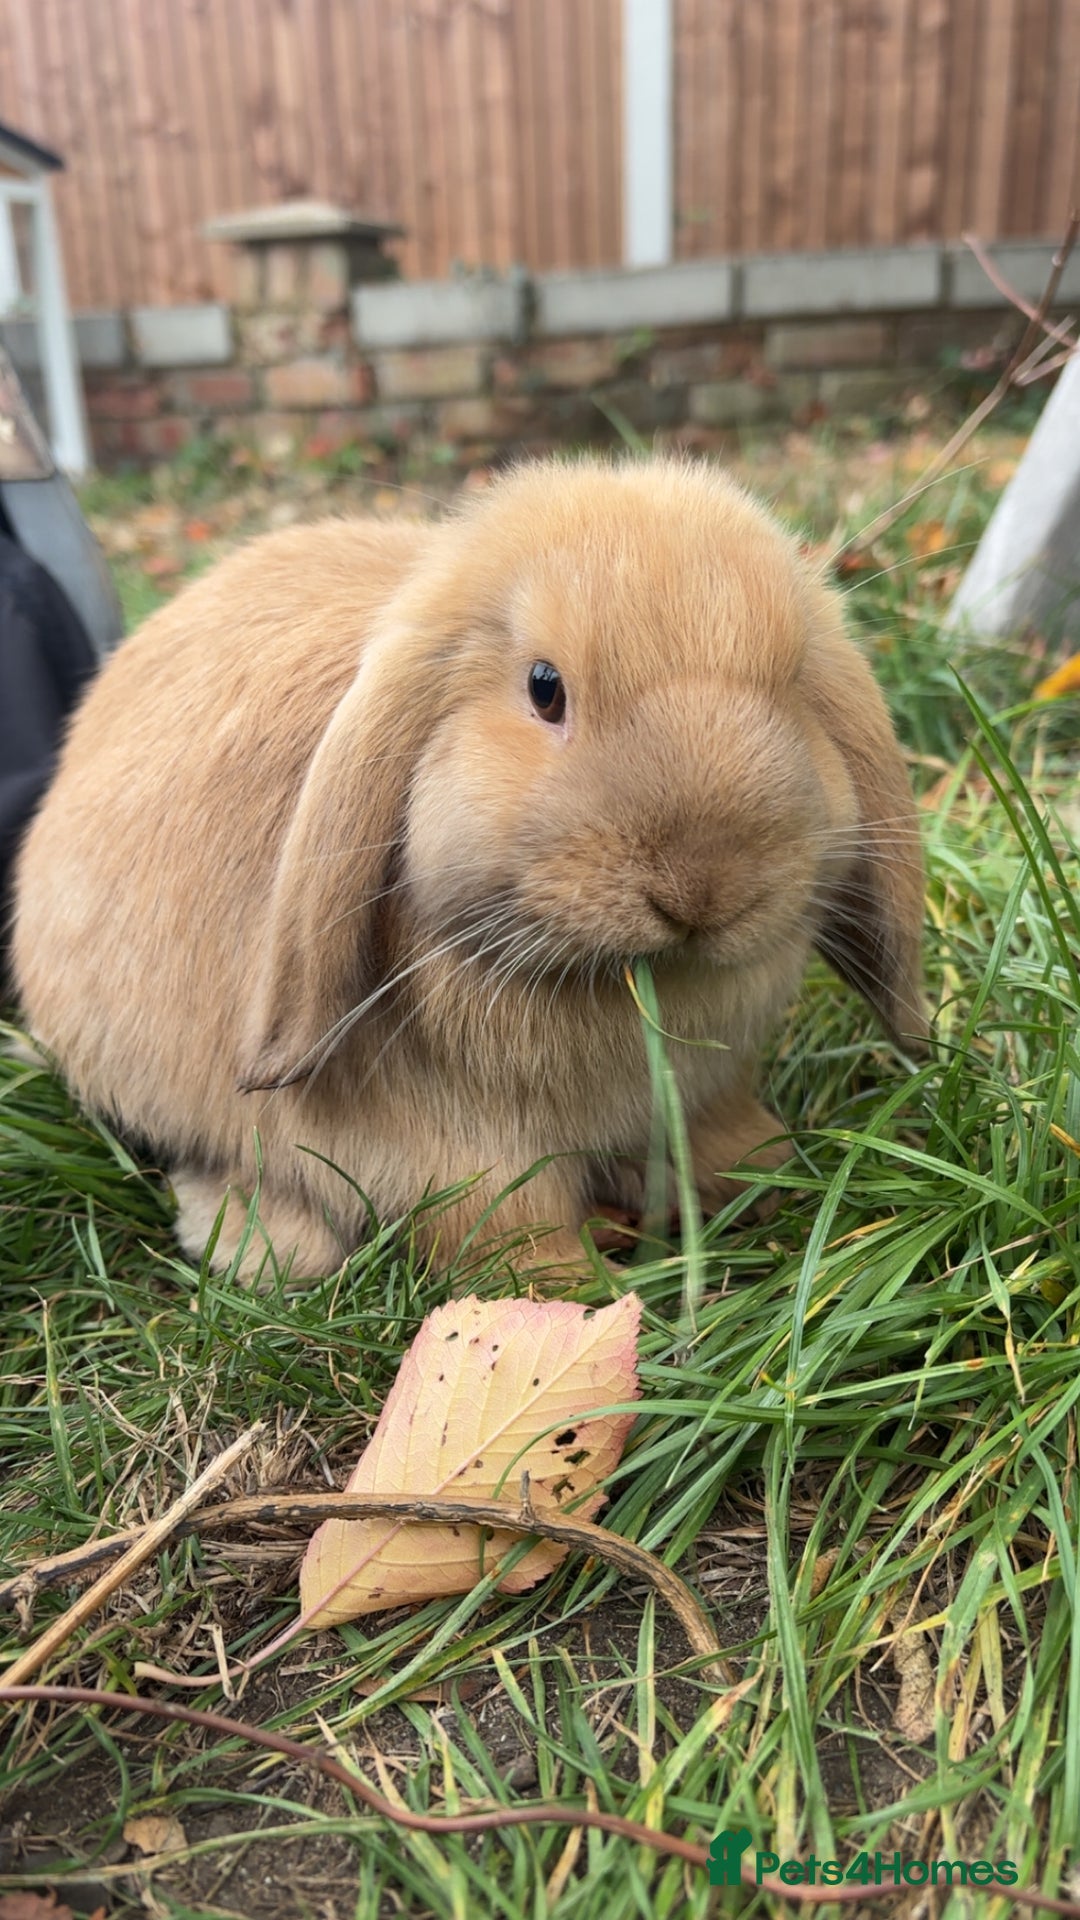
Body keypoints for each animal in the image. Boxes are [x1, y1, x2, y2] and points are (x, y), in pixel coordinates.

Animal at [11, 457, 927, 1280]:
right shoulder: (456, 1153)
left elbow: (722, 1137)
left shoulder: (705, 1088)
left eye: (796, 682)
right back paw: (261, 1244)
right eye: (545, 687)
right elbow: (506, 1230)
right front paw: (571, 1294)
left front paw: (769, 1175)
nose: (701, 886)